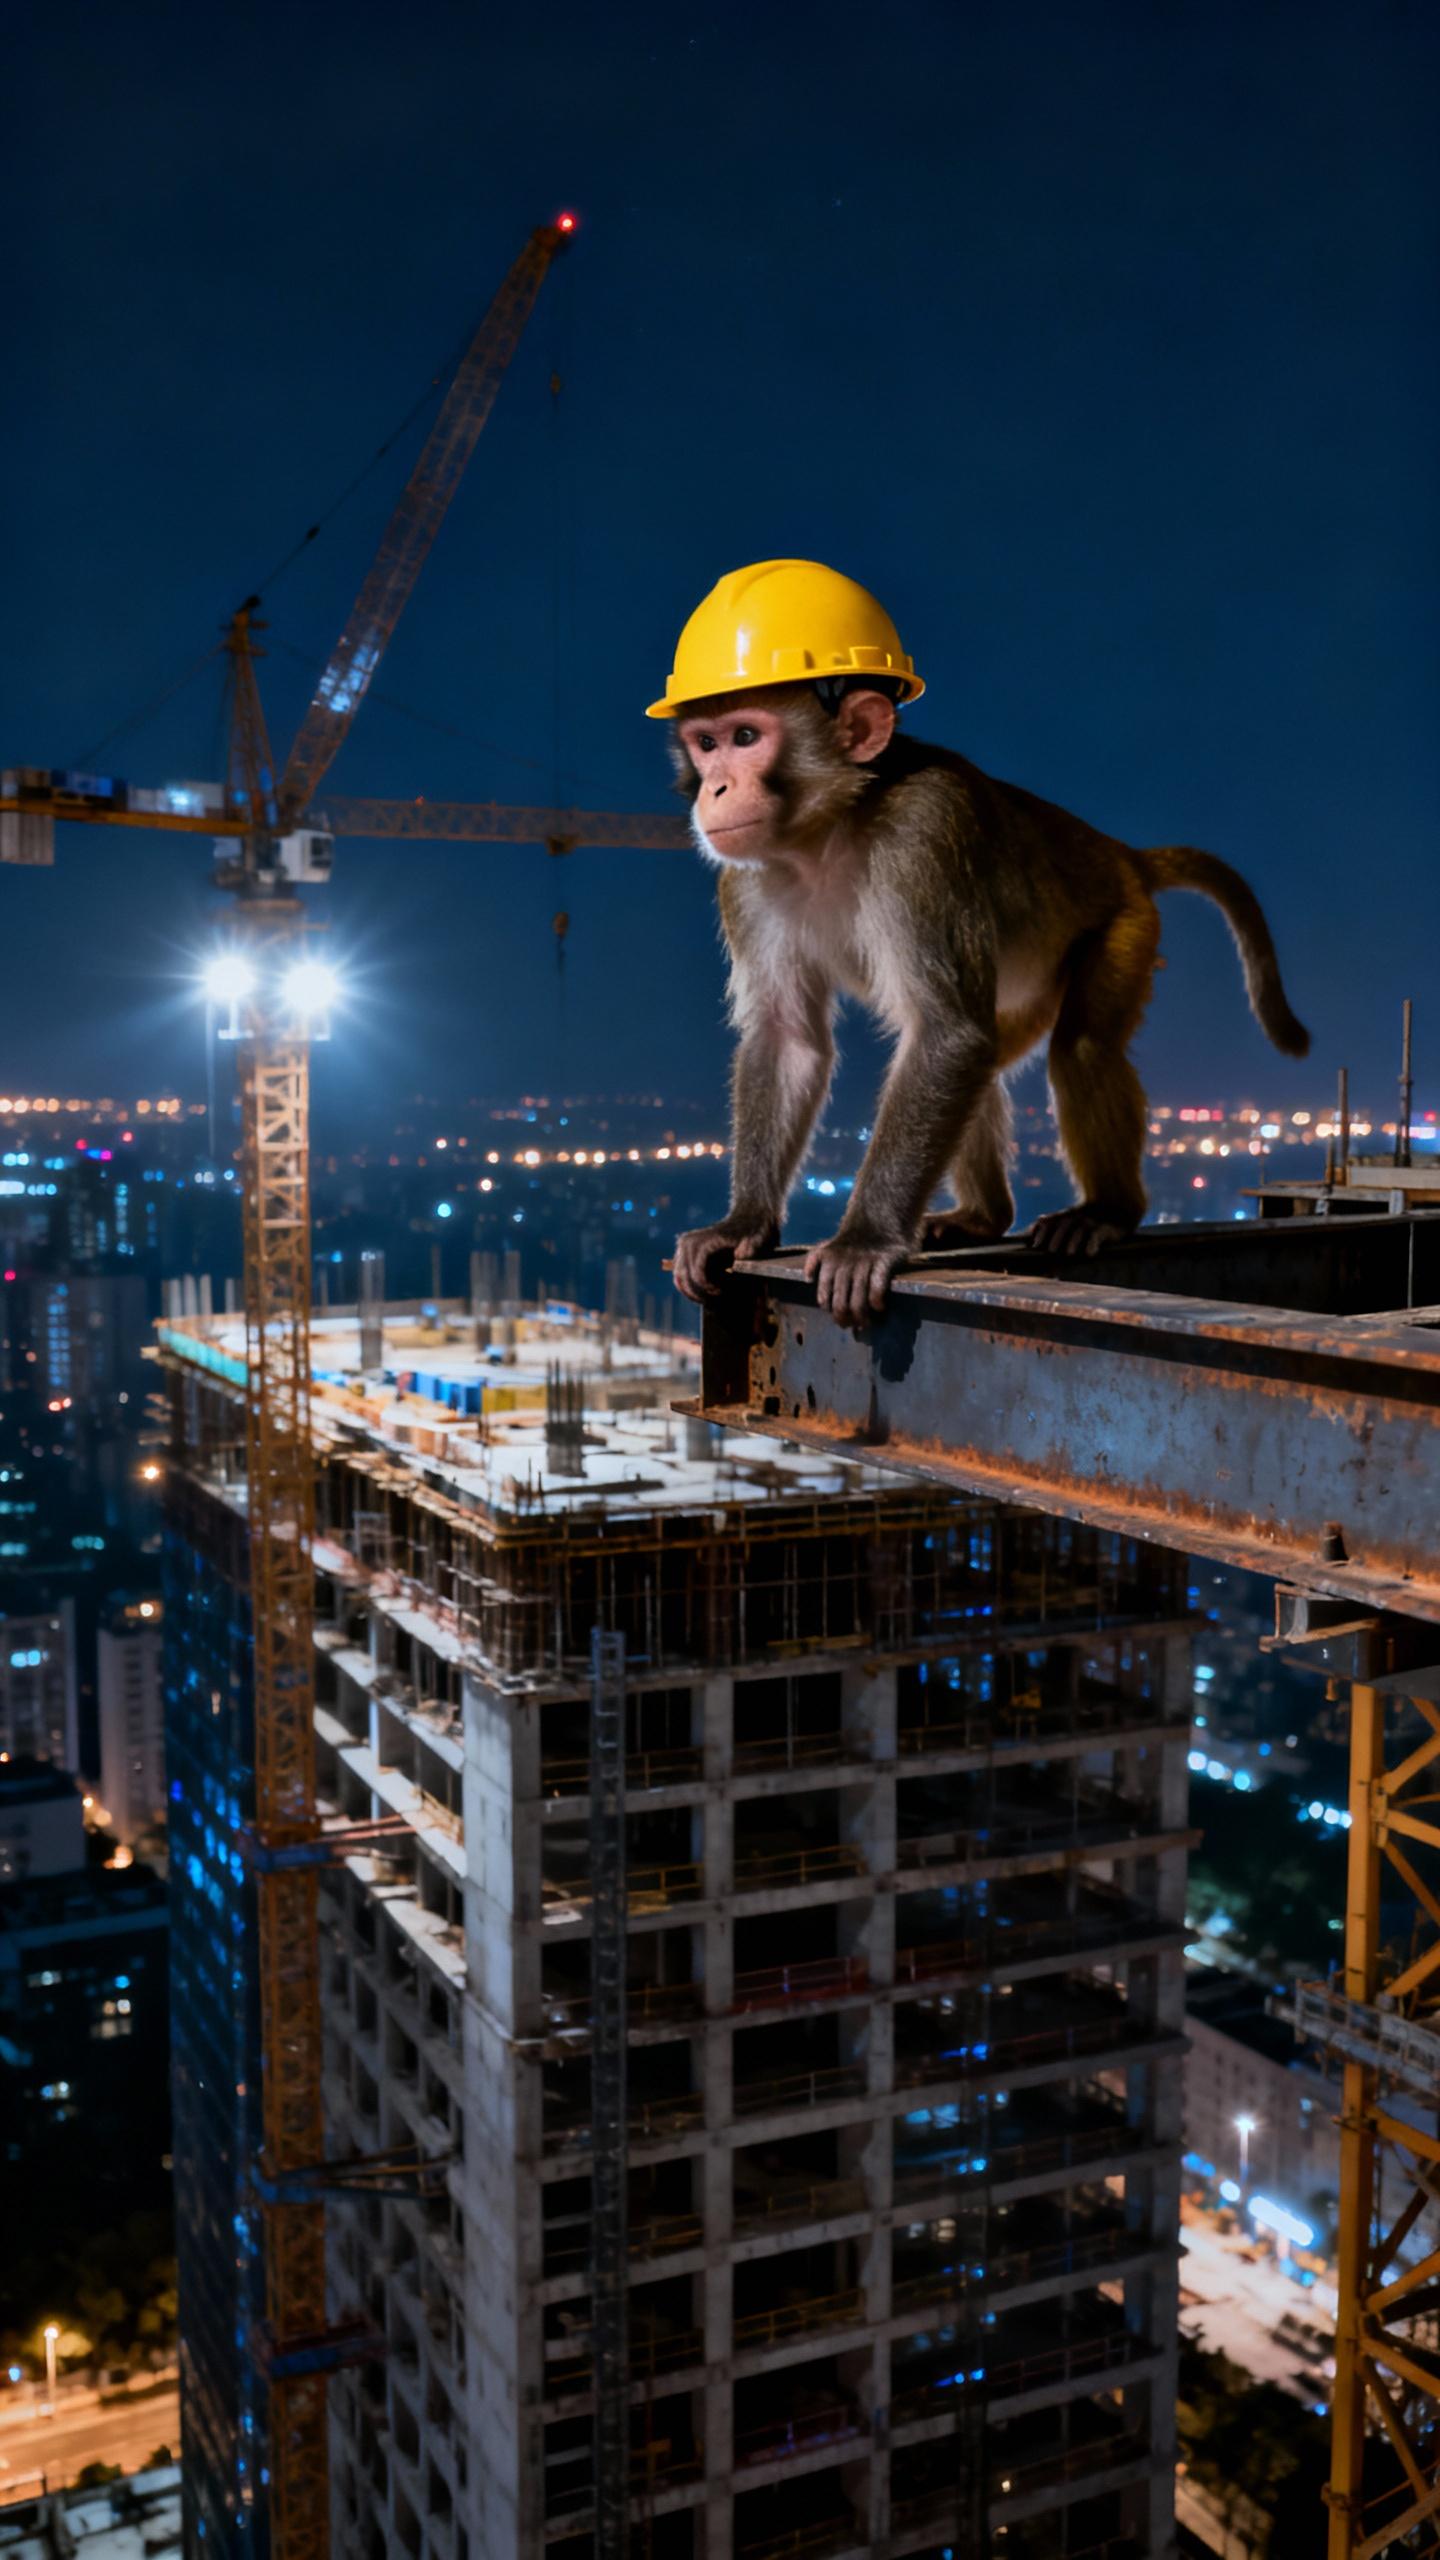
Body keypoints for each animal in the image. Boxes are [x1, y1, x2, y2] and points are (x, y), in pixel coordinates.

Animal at [664, 678, 1308, 1332]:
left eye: (747, 736)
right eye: (707, 744)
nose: (716, 789)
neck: (827, 831)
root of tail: (1122, 855)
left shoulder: (922, 835)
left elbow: (947, 1033)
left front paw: (865, 1239)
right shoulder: (745, 884)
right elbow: (790, 1038)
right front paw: (742, 1223)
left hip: (1123, 924)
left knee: (1078, 1047)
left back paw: (1107, 1209)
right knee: (985, 1058)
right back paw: (985, 1216)